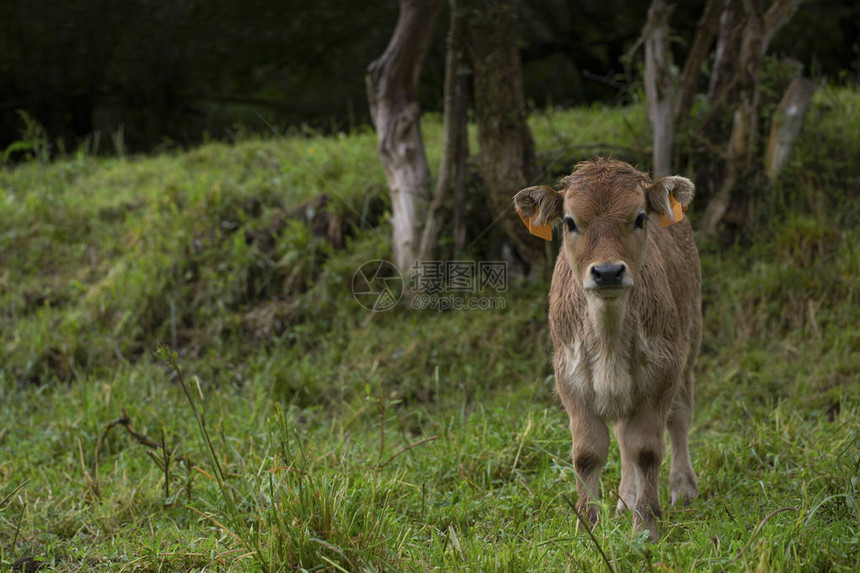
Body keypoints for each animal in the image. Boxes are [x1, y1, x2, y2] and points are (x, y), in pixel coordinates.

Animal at [512, 158, 704, 540]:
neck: (609, 336)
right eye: (570, 221)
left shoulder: (662, 374)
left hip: (690, 347)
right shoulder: (571, 379)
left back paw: (682, 487)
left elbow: (646, 449)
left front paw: (646, 524)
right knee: (622, 436)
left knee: (679, 419)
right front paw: (588, 523)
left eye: (640, 217)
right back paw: (625, 500)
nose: (608, 272)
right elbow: (589, 453)